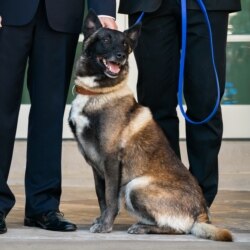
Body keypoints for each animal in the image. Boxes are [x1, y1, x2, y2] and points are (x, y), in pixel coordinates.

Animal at [68, 10, 232, 242]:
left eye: (125, 44)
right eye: (106, 40)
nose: (121, 55)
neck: (97, 92)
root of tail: (201, 212)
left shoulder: (110, 160)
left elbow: (110, 199)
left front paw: (105, 225)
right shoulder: (96, 166)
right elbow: (101, 197)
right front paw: (101, 220)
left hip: (135, 186)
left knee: (179, 228)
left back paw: (143, 228)